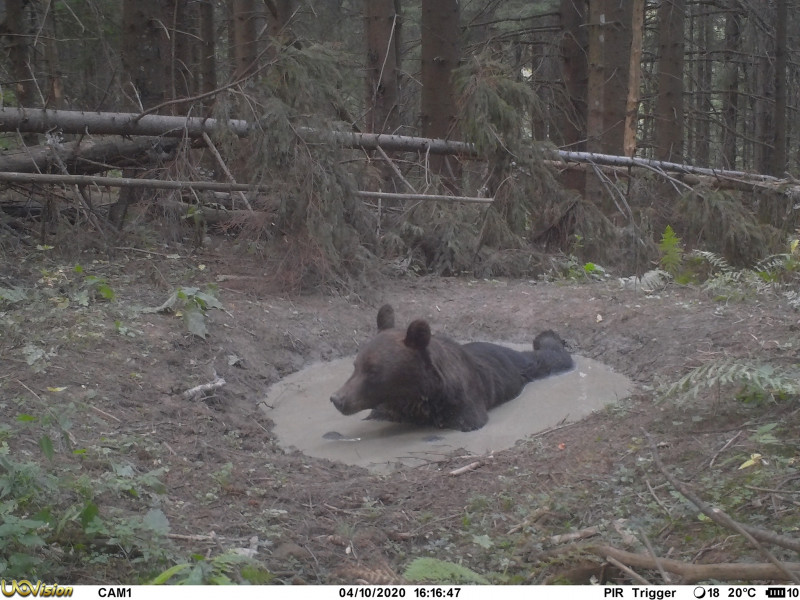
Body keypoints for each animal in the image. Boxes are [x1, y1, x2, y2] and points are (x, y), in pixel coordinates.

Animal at [332, 304, 576, 432]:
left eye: (373, 370)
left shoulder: (463, 406)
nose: (337, 398)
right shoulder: (389, 410)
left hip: (525, 366)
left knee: (552, 359)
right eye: (355, 366)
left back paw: (548, 335)